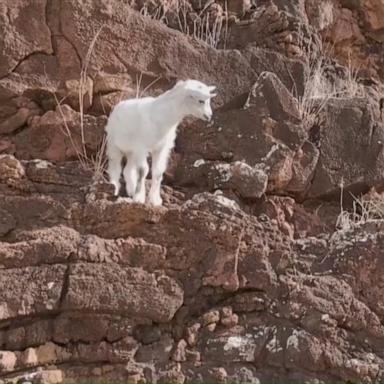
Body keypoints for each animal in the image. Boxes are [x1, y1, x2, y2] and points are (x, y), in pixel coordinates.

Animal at [105, 79, 218, 207]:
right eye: (201, 101)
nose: (209, 116)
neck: (162, 117)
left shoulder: (161, 148)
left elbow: (158, 172)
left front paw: (155, 200)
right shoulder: (141, 147)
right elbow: (143, 171)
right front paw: (139, 198)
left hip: (131, 151)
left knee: (127, 169)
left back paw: (131, 190)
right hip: (113, 144)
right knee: (115, 167)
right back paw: (114, 188)